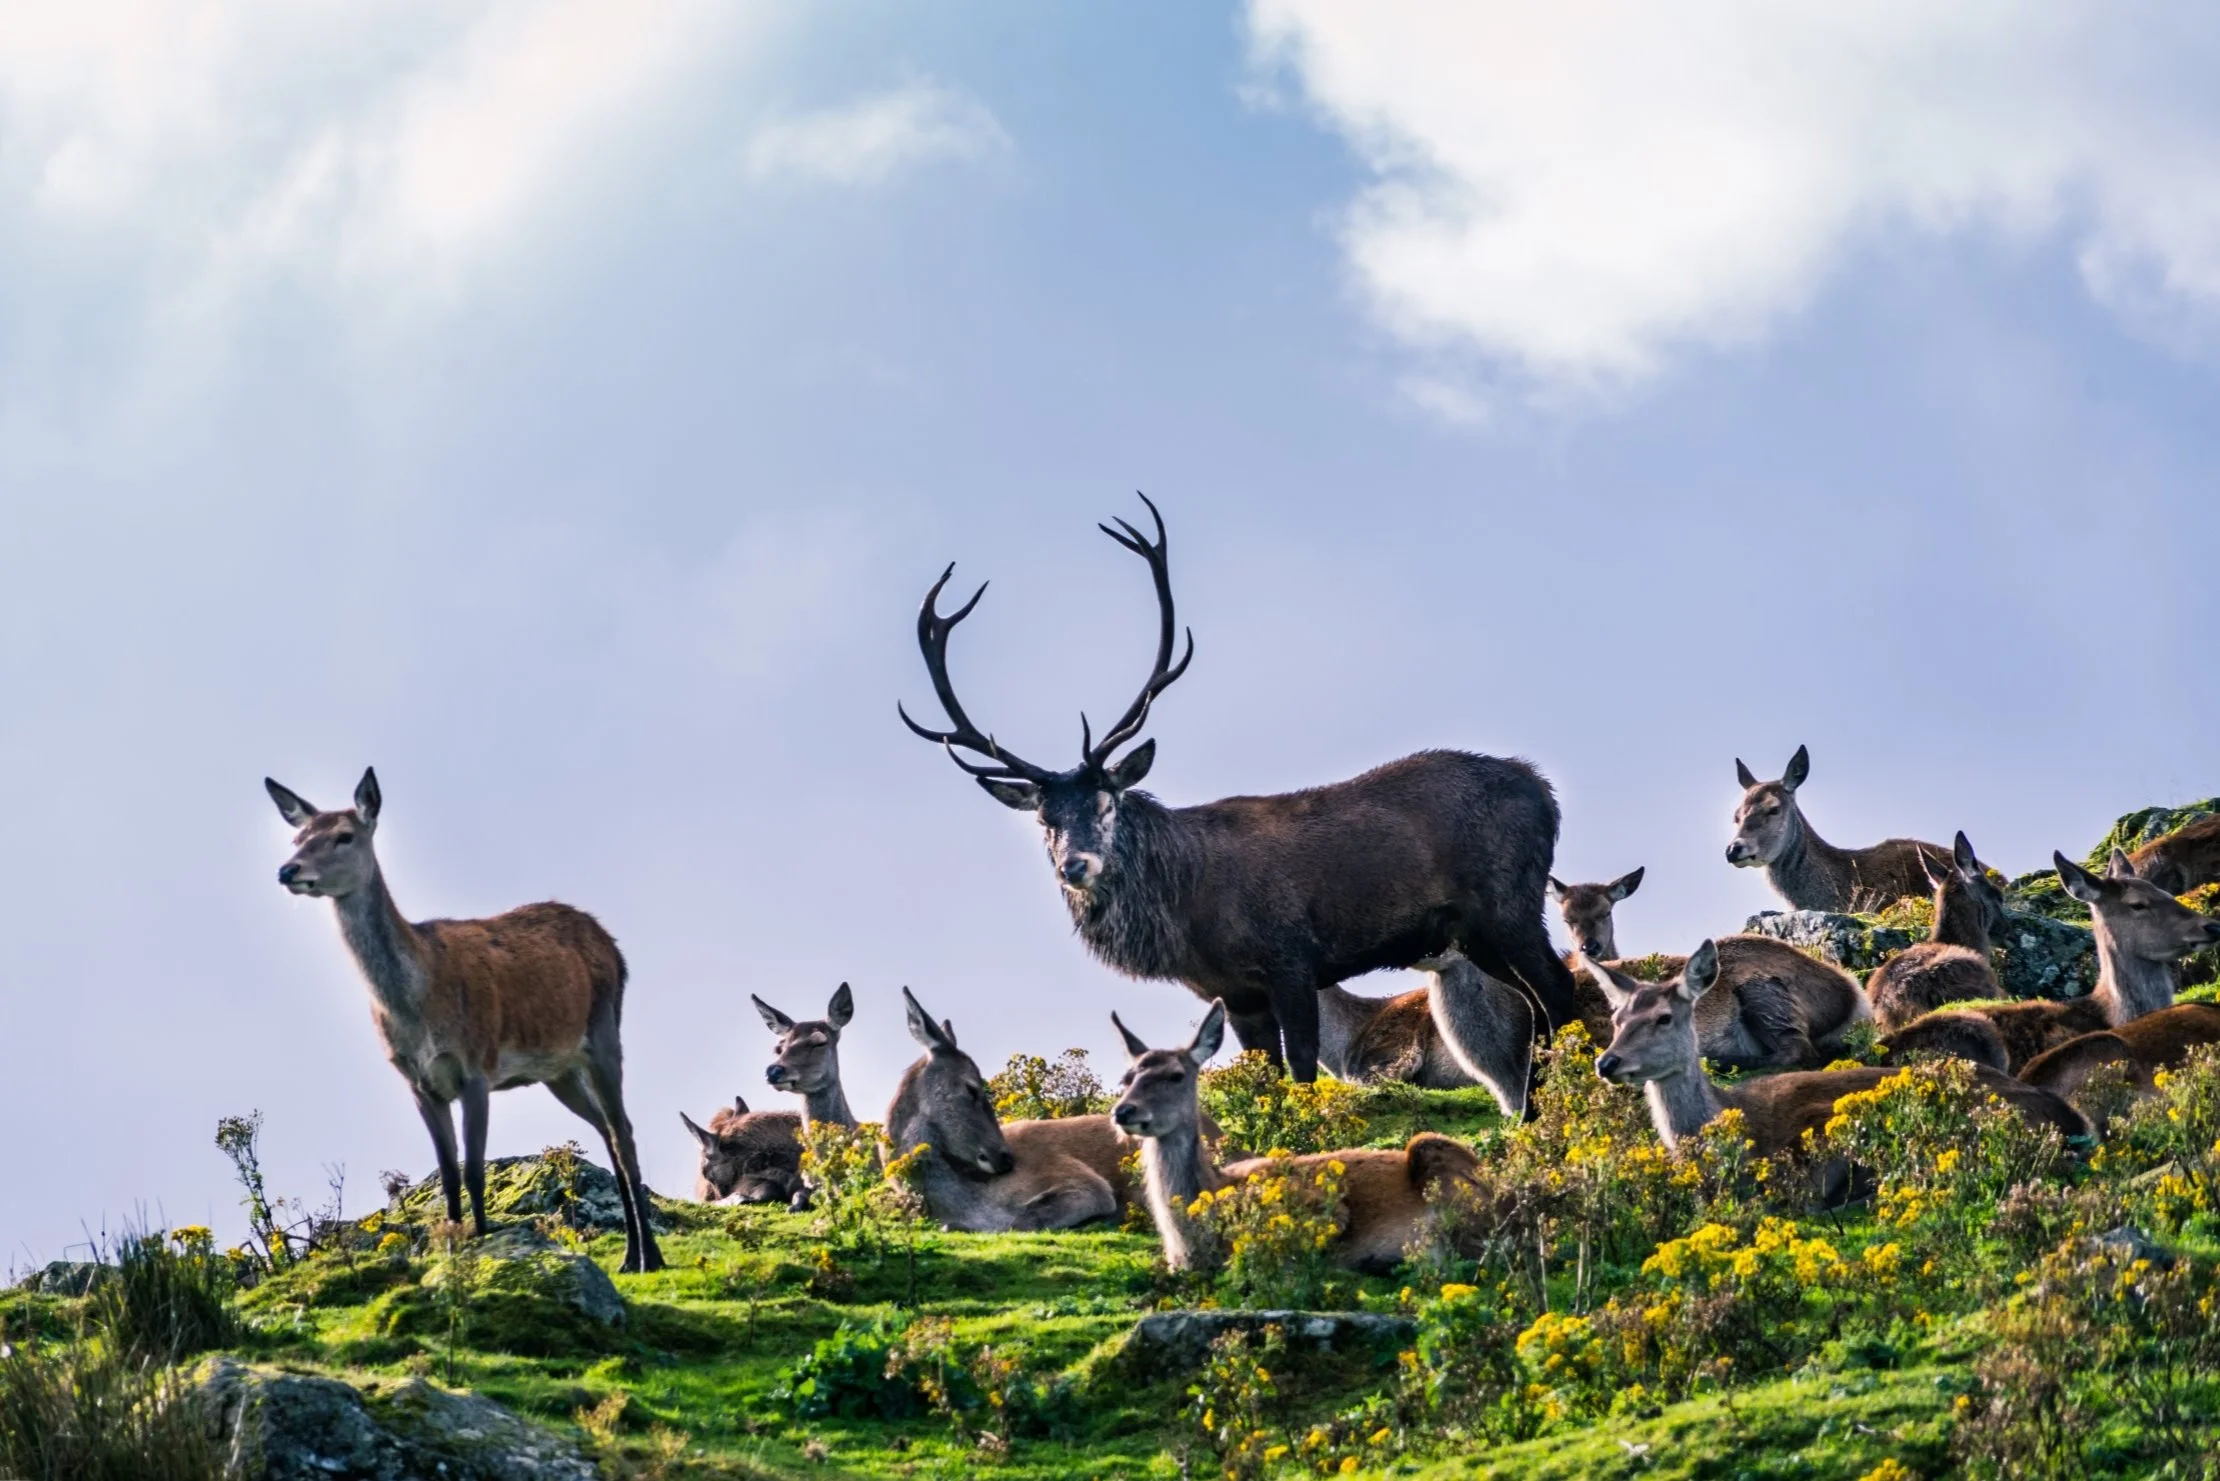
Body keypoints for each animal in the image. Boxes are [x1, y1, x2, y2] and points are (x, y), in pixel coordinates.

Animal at [267, 769, 663, 1273]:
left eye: (344, 835)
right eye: (297, 837)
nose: (288, 870)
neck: (415, 1008)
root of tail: (612, 943)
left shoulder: (476, 1066)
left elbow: (474, 1170)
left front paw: (486, 1243)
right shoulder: (418, 1084)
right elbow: (449, 1174)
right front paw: (455, 1251)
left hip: (605, 1030)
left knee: (624, 1133)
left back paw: (649, 1257)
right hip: (559, 1070)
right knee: (606, 1132)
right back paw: (632, 1255)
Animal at [900, 494, 1578, 1083]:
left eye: (1106, 802)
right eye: (1045, 820)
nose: (1076, 866)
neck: (1190, 914)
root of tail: (1545, 791)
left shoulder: (1291, 957)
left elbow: (1302, 1068)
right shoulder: (1234, 991)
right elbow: (1268, 1078)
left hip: (1510, 903)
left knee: (1558, 986)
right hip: (1477, 929)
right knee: (1533, 1001)